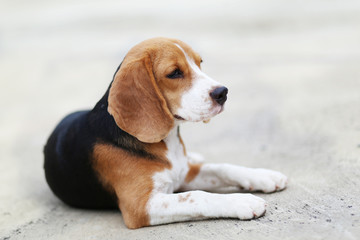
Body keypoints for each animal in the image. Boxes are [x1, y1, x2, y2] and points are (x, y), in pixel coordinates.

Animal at [44, 37, 286, 229]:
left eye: (200, 63)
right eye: (174, 73)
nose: (222, 92)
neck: (168, 142)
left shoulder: (186, 174)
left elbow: (222, 168)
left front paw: (264, 176)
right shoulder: (141, 206)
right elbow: (197, 196)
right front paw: (242, 201)